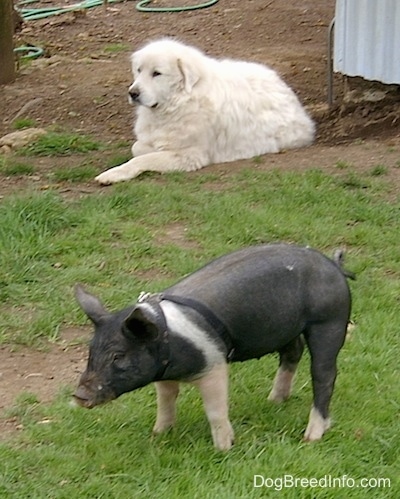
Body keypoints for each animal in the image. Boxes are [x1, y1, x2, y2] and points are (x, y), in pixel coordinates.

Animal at [74, 244, 354, 452]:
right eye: (91, 351)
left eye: (118, 356)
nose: (79, 395)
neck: (169, 341)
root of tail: (334, 265)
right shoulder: (163, 375)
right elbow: (166, 401)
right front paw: (159, 434)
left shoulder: (215, 363)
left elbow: (215, 410)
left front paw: (224, 448)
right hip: (288, 328)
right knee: (293, 352)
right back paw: (274, 401)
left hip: (330, 321)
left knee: (324, 375)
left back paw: (311, 437)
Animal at [95, 38, 314, 185]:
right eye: (139, 70)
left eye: (157, 73)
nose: (133, 93)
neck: (182, 101)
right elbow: (138, 148)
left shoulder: (191, 154)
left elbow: (141, 158)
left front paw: (113, 174)